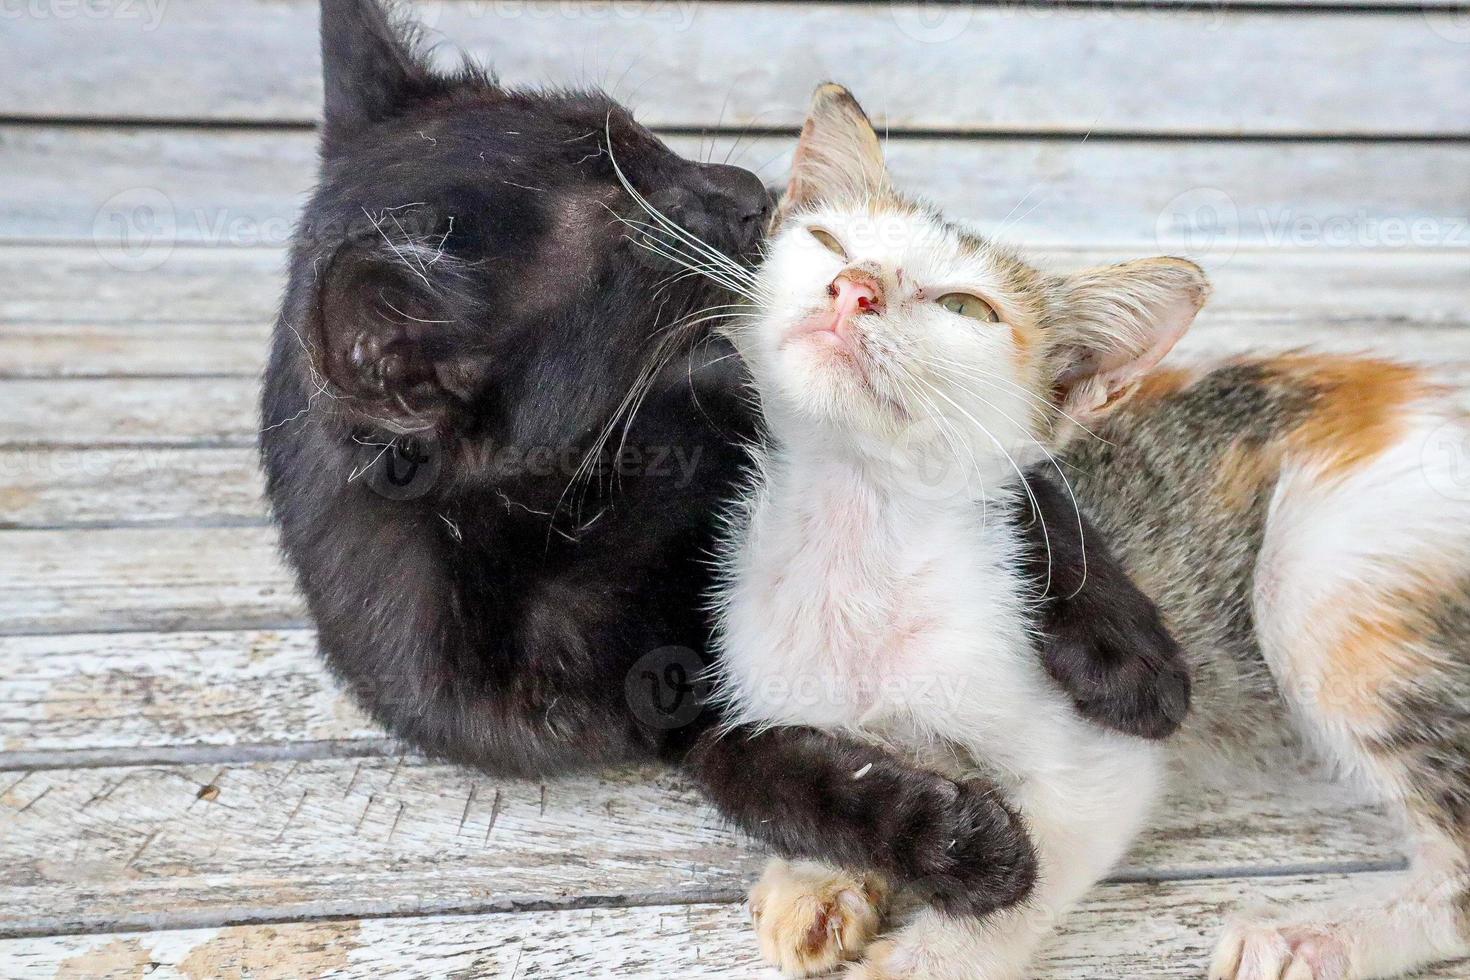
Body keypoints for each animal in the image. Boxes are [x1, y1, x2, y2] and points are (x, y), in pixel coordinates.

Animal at [258, 0, 1187, 922]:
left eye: (638, 133)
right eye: (632, 235)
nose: (750, 191)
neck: (582, 505)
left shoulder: (735, 385)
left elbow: (1020, 475)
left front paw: (1130, 657)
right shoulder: (656, 707)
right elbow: (766, 774)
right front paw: (951, 840)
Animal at [726, 84, 1470, 980]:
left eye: (964, 307)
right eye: (828, 241)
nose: (853, 286)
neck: (857, 517)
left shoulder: (1100, 759)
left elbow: (1037, 866)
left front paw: (919, 958)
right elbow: (834, 771)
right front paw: (818, 878)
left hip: (1323, 577)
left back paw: (1311, 937)